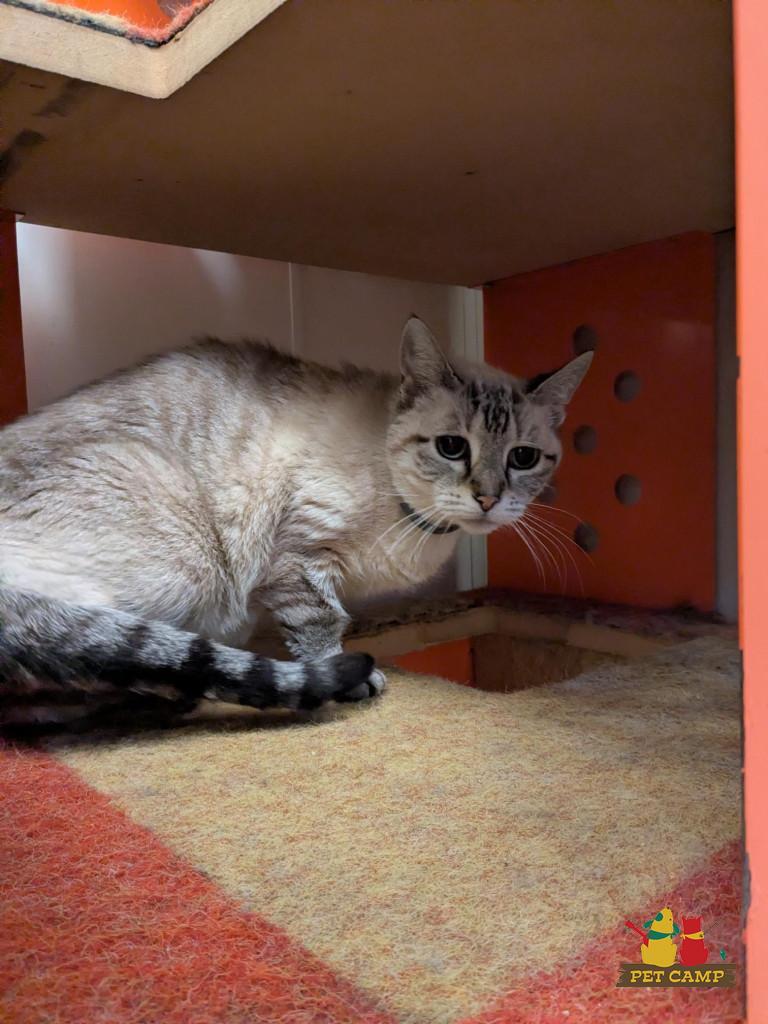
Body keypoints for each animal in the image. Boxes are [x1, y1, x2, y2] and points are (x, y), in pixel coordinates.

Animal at [0, 316, 591, 726]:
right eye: (451, 447)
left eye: (523, 458)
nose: (488, 498)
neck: (419, 525)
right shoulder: (299, 559)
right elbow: (323, 626)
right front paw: (347, 679)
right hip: (180, 546)